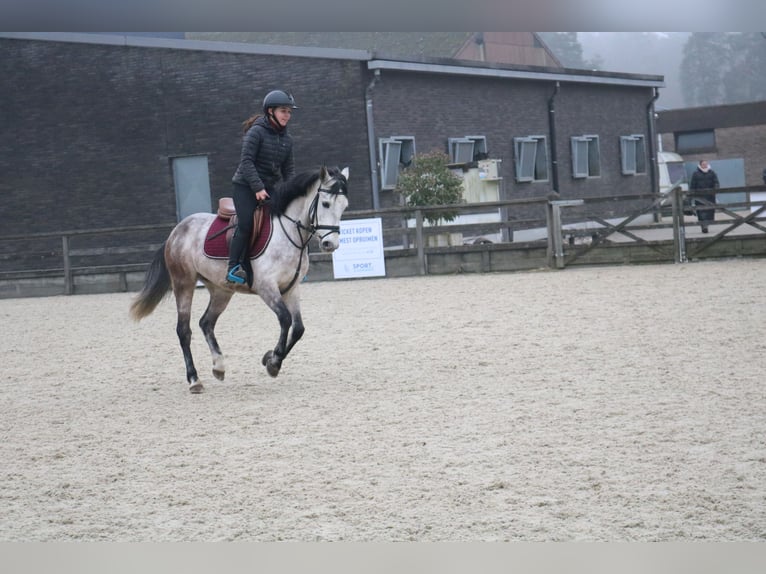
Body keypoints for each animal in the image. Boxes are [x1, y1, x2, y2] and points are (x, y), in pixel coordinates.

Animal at [130, 164, 352, 394]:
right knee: (184, 330)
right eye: (325, 204)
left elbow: (298, 328)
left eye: (344, 206)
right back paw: (194, 379)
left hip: (221, 290)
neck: (289, 232)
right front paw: (273, 363)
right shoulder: (267, 287)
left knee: (206, 323)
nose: (331, 245)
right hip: (184, 283)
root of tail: (177, 230)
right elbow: (285, 319)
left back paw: (219, 367)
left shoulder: (291, 288)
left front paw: (269, 358)